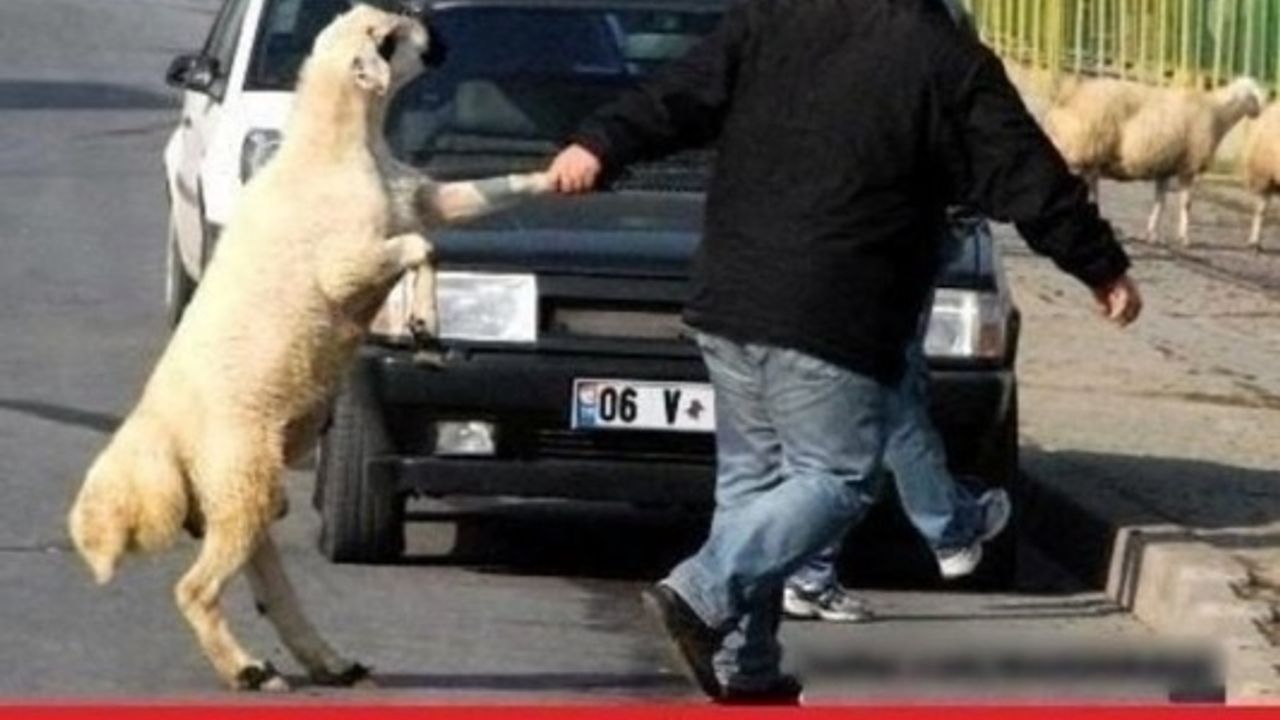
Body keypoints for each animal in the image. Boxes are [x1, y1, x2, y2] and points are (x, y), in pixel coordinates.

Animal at [67, 4, 549, 691]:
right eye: (389, 37)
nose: (441, 31)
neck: (337, 147)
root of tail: (156, 434)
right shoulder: (348, 265)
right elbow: (420, 249)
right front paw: (424, 329)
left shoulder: (423, 200)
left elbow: (484, 198)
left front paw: (564, 171)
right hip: (241, 473)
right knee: (196, 588)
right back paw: (248, 670)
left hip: (245, 492)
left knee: (268, 582)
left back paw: (328, 661)